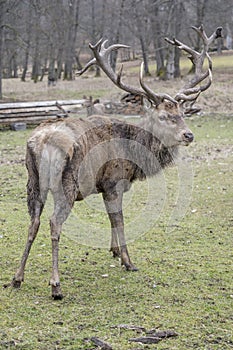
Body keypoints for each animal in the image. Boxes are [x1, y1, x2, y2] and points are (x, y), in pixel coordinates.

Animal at [7, 25, 222, 298]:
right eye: (163, 116)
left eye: (182, 113)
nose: (189, 135)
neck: (136, 158)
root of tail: (40, 141)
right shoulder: (114, 181)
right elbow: (119, 219)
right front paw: (128, 261)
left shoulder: (102, 186)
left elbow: (111, 218)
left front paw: (115, 252)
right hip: (66, 184)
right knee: (54, 222)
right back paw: (56, 285)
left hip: (33, 183)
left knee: (33, 222)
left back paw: (17, 277)